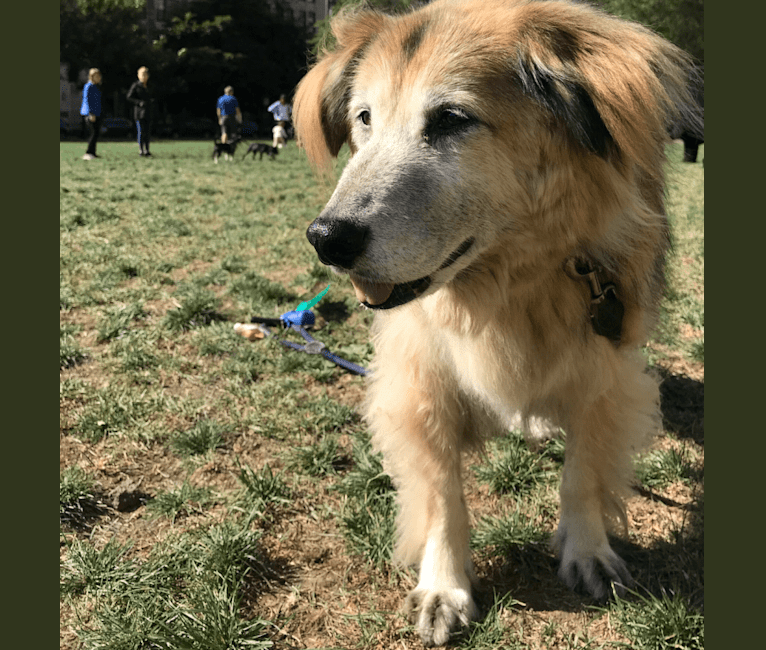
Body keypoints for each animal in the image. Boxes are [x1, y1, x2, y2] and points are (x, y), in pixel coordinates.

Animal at [296, 0, 704, 644]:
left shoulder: (606, 372)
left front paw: (587, 552)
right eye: (364, 118)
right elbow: (442, 496)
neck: (504, 287)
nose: (326, 238)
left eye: (451, 119)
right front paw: (445, 587)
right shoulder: (420, 382)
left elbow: (583, 472)